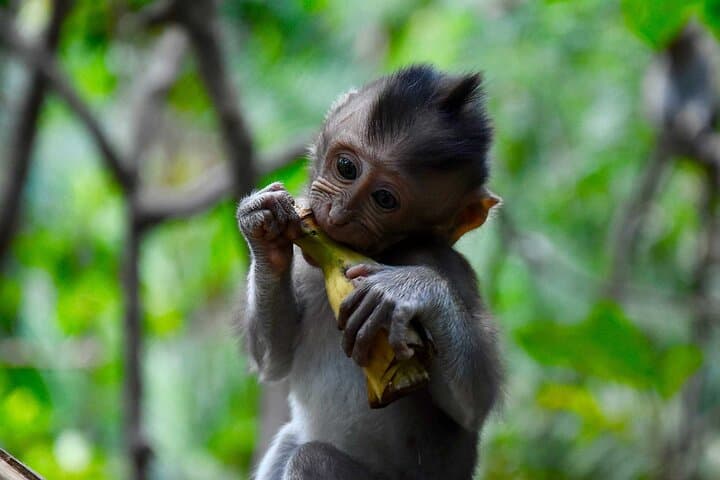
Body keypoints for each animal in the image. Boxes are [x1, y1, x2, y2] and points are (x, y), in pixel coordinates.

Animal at [237, 65, 502, 480]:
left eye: (384, 199)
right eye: (346, 168)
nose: (339, 213)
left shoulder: (444, 262)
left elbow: (474, 404)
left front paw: (411, 289)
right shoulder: (306, 268)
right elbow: (274, 359)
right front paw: (262, 225)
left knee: (310, 458)